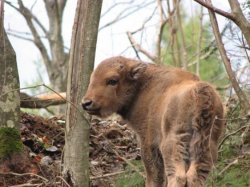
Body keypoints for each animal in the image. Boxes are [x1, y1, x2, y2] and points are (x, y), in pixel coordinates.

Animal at [81, 56, 225, 186]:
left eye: (112, 80)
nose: (86, 103)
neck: (141, 87)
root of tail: (201, 92)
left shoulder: (148, 142)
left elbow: (153, 173)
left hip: (172, 143)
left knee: (178, 176)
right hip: (207, 146)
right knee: (196, 175)